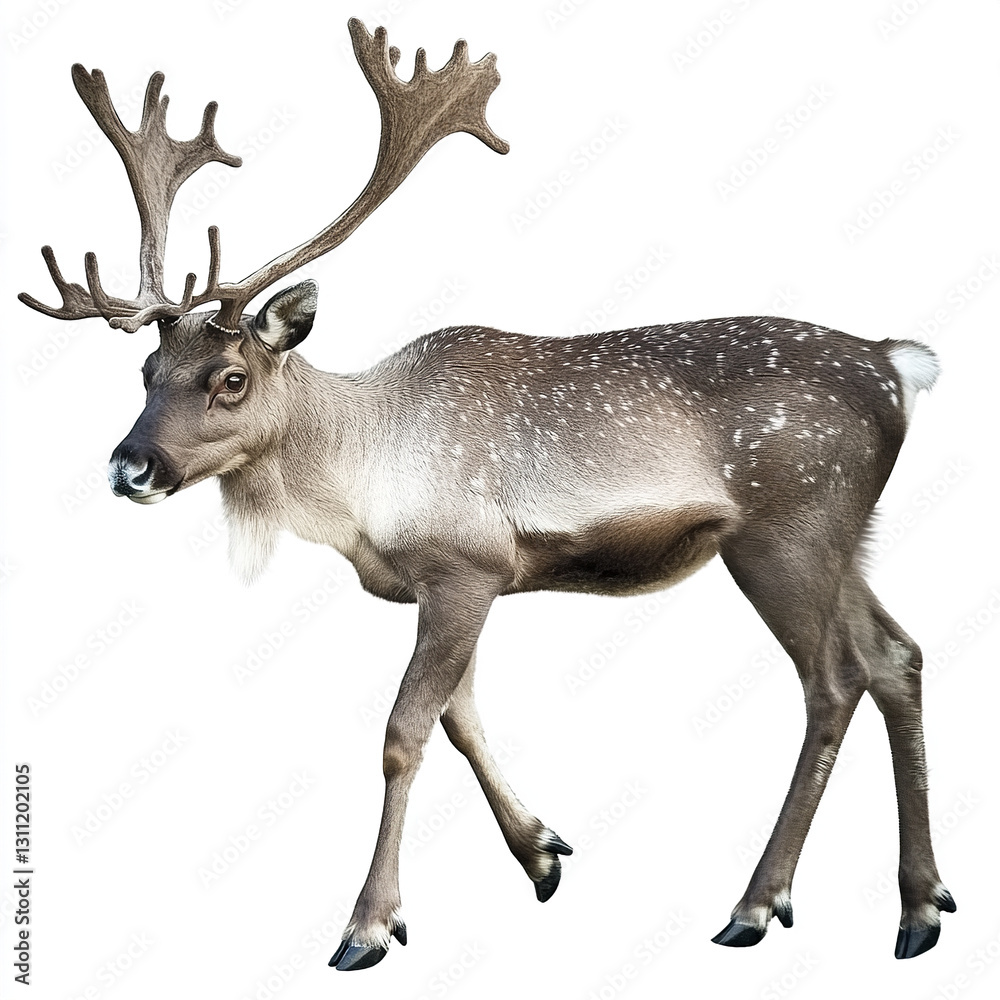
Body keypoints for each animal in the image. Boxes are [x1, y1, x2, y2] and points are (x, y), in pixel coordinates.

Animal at [19, 17, 954, 972]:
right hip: (845, 534)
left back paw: (759, 904)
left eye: (231, 378)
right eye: (146, 371)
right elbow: (462, 719)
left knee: (834, 679)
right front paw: (543, 853)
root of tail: (898, 365)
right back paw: (921, 907)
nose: (129, 466)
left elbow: (404, 733)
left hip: (785, 528)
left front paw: (369, 924)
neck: (359, 488)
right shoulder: (468, 583)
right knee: (899, 654)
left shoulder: (465, 566)